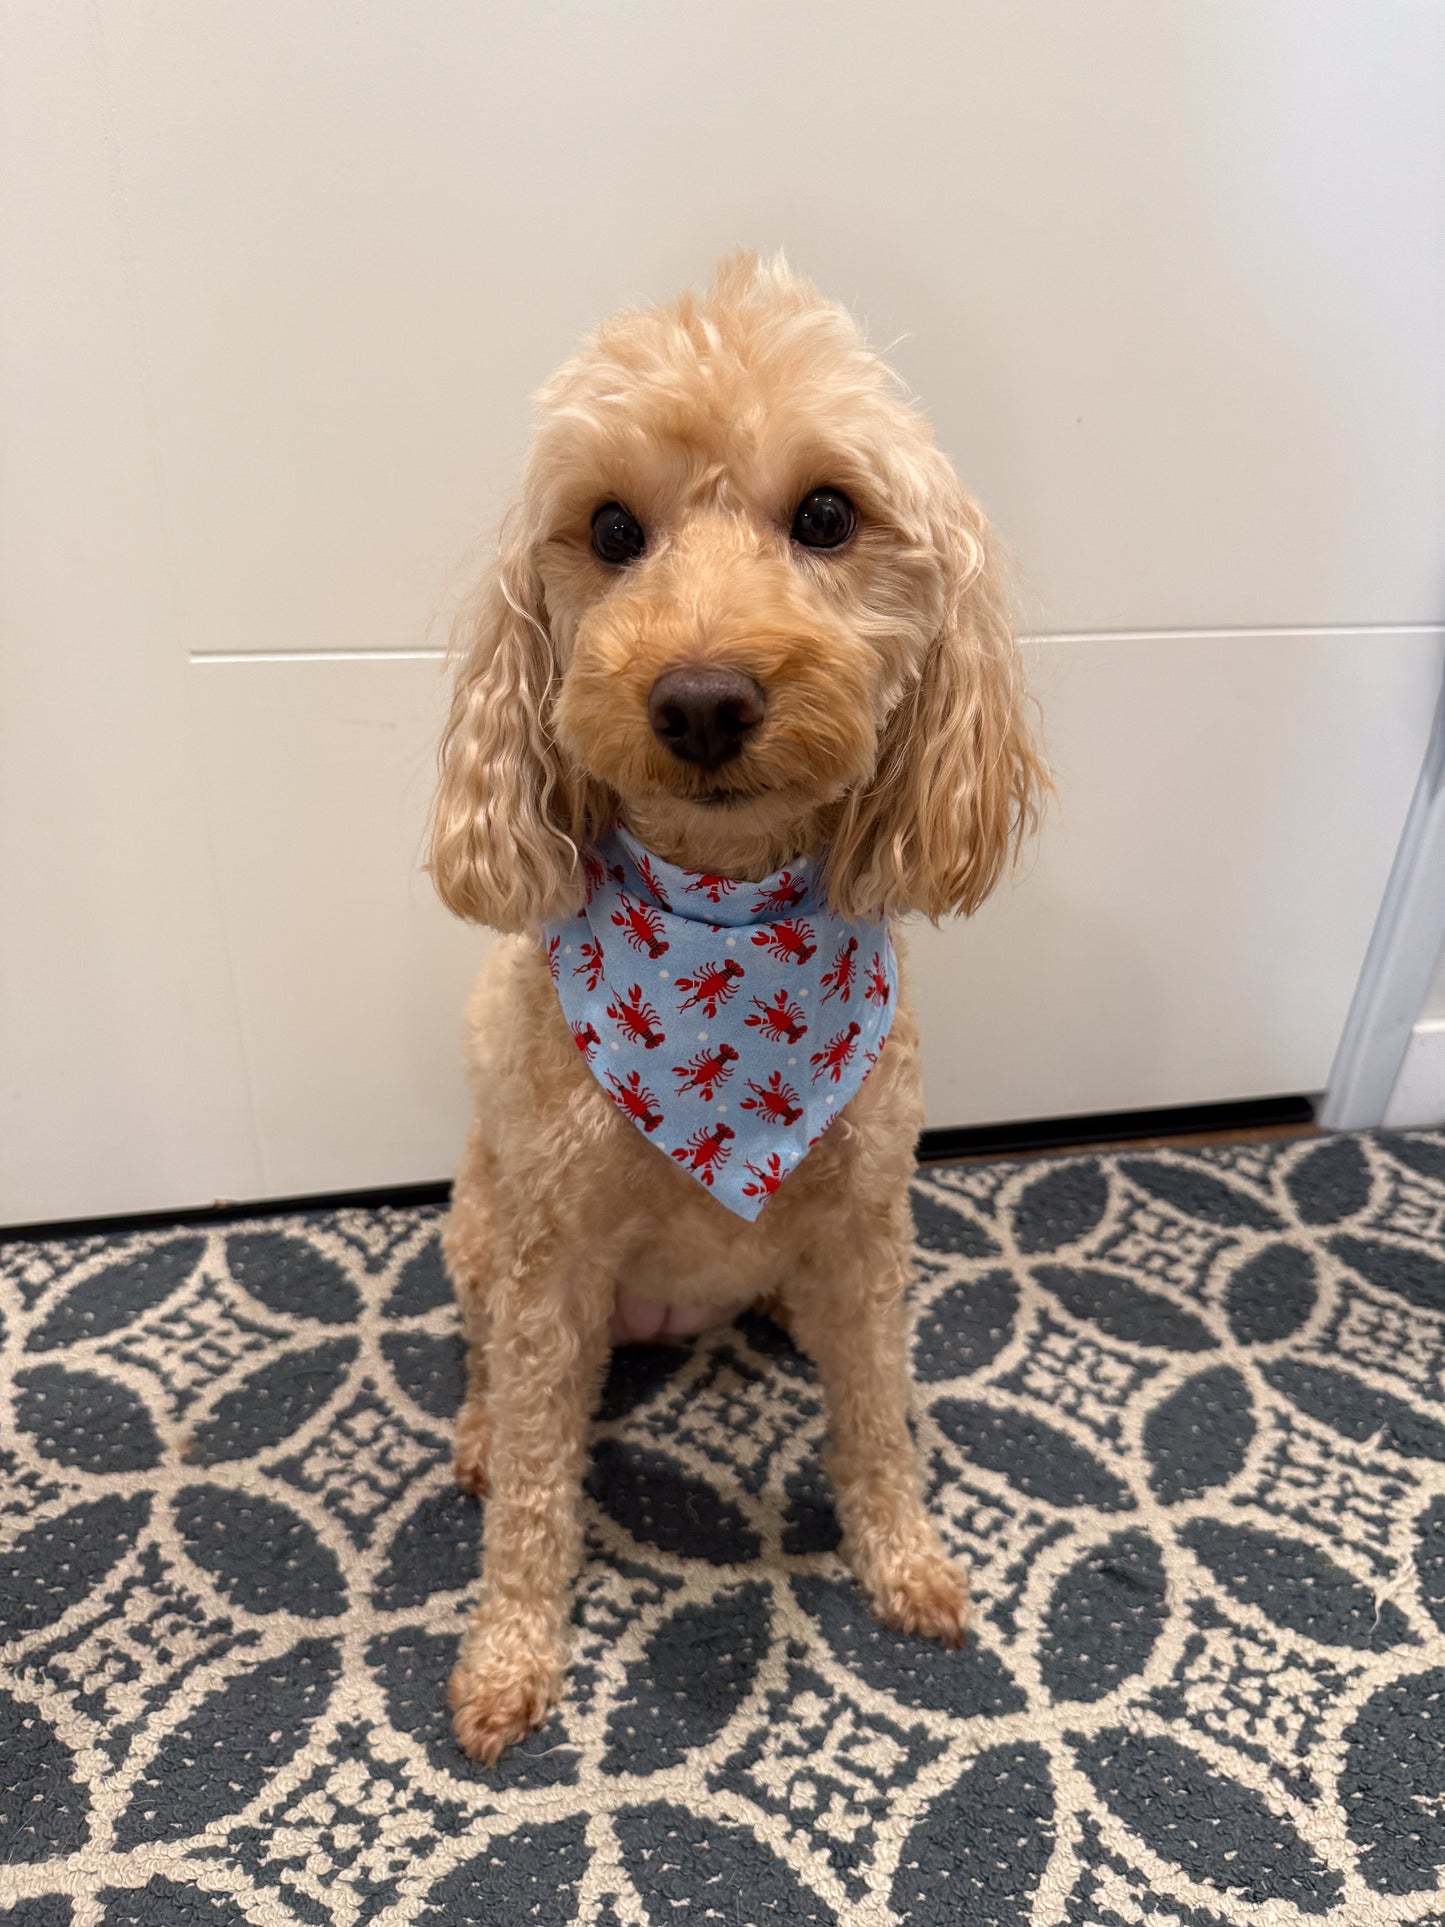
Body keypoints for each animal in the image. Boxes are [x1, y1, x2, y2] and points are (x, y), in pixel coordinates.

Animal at [423, 244, 1048, 1765]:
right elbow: (540, 1484)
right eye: (608, 528)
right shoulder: (549, 1262)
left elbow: (872, 1413)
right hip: (480, 1227)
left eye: (826, 513)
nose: (701, 698)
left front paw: (903, 1557)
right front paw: (508, 1655)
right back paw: (474, 1437)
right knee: (485, 1372)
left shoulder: (866, 1221)